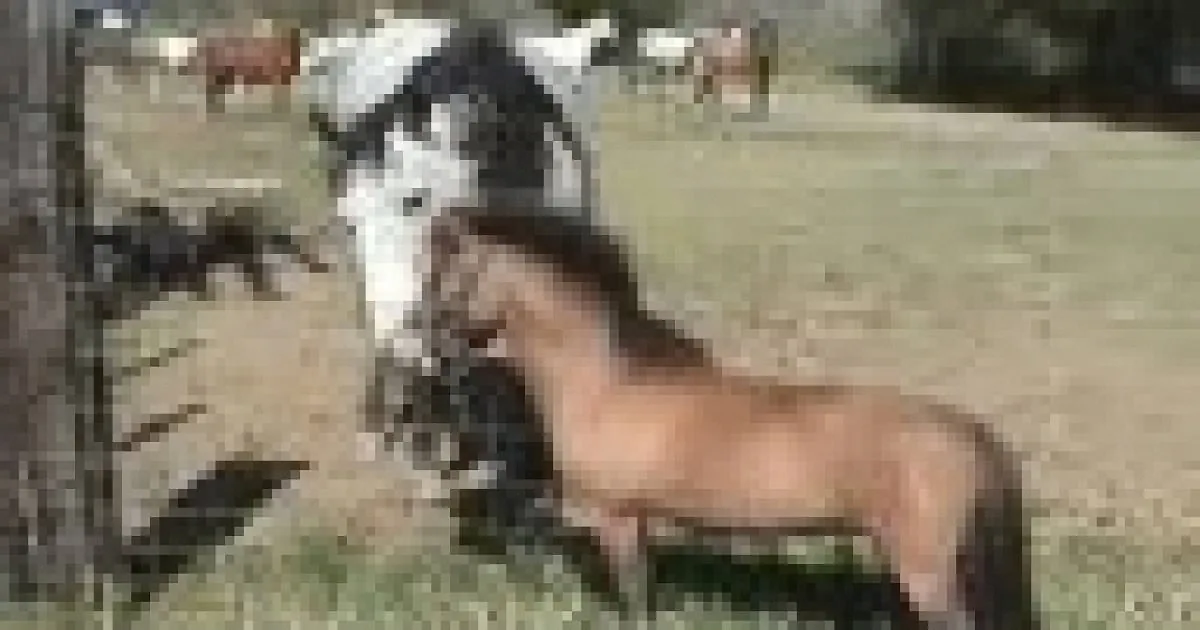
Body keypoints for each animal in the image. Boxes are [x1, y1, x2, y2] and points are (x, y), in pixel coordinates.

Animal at [423, 205, 1041, 630]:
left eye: (447, 275)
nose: (424, 340)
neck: (606, 385)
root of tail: (965, 431)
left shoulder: (616, 520)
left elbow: (635, 599)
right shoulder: (638, 521)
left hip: (924, 572)